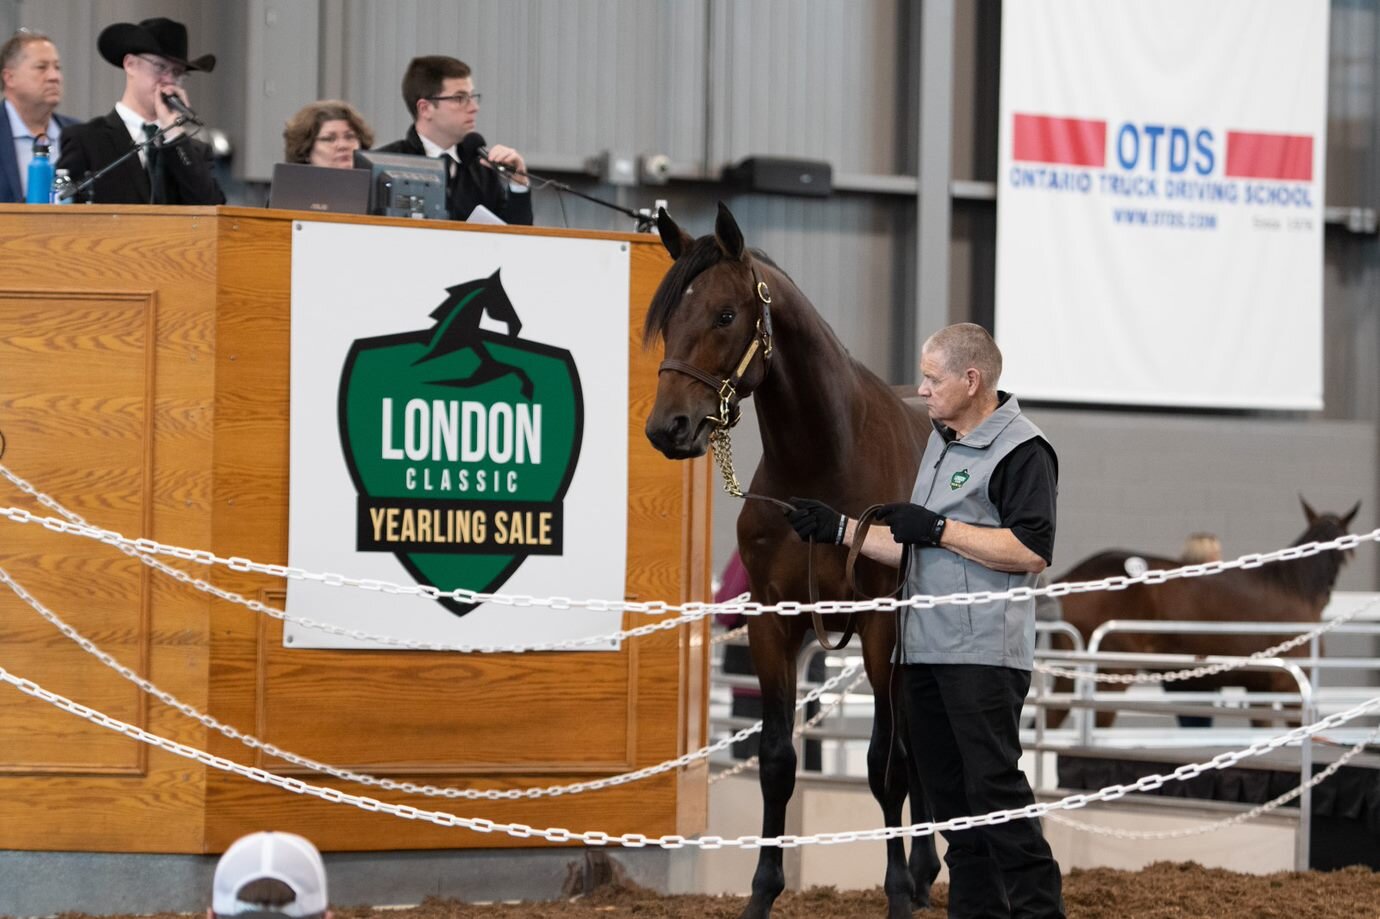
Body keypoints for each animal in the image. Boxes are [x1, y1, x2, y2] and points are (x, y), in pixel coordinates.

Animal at [643, 202, 943, 916]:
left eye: (726, 315)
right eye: (668, 320)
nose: (668, 428)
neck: (826, 463)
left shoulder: (880, 625)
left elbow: (884, 764)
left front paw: (895, 893)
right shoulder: (772, 623)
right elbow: (777, 760)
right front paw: (761, 893)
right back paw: (924, 875)